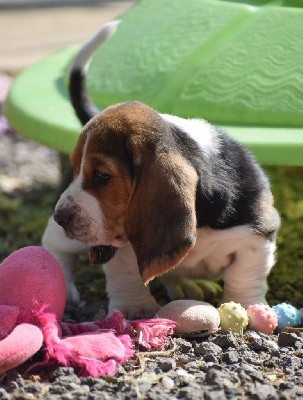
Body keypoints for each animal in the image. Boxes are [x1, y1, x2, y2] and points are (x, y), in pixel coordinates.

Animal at [42, 21, 280, 318]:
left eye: (102, 176)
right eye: (75, 168)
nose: (61, 215)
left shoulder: (257, 234)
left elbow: (245, 274)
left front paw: (247, 307)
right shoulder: (119, 242)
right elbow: (125, 273)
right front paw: (134, 308)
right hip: (68, 236)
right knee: (54, 245)